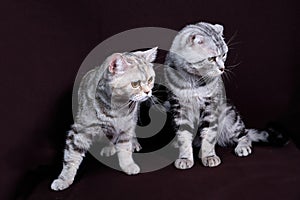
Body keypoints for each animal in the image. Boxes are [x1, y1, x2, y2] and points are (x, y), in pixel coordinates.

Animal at [51, 47, 158, 191]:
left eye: (150, 79)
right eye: (135, 84)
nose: (148, 92)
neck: (117, 107)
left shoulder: (126, 126)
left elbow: (125, 148)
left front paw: (128, 165)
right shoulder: (81, 131)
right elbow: (71, 157)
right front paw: (64, 179)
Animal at [165, 21, 288, 169]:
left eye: (224, 54)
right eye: (211, 58)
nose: (222, 68)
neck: (193, 79)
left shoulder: (210, 106)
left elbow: (208, 135)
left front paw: (209, 156)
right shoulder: (179, 107)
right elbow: (183, 135)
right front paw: (184, 157)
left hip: (230, 117)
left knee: (244, 135)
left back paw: (242, 147)